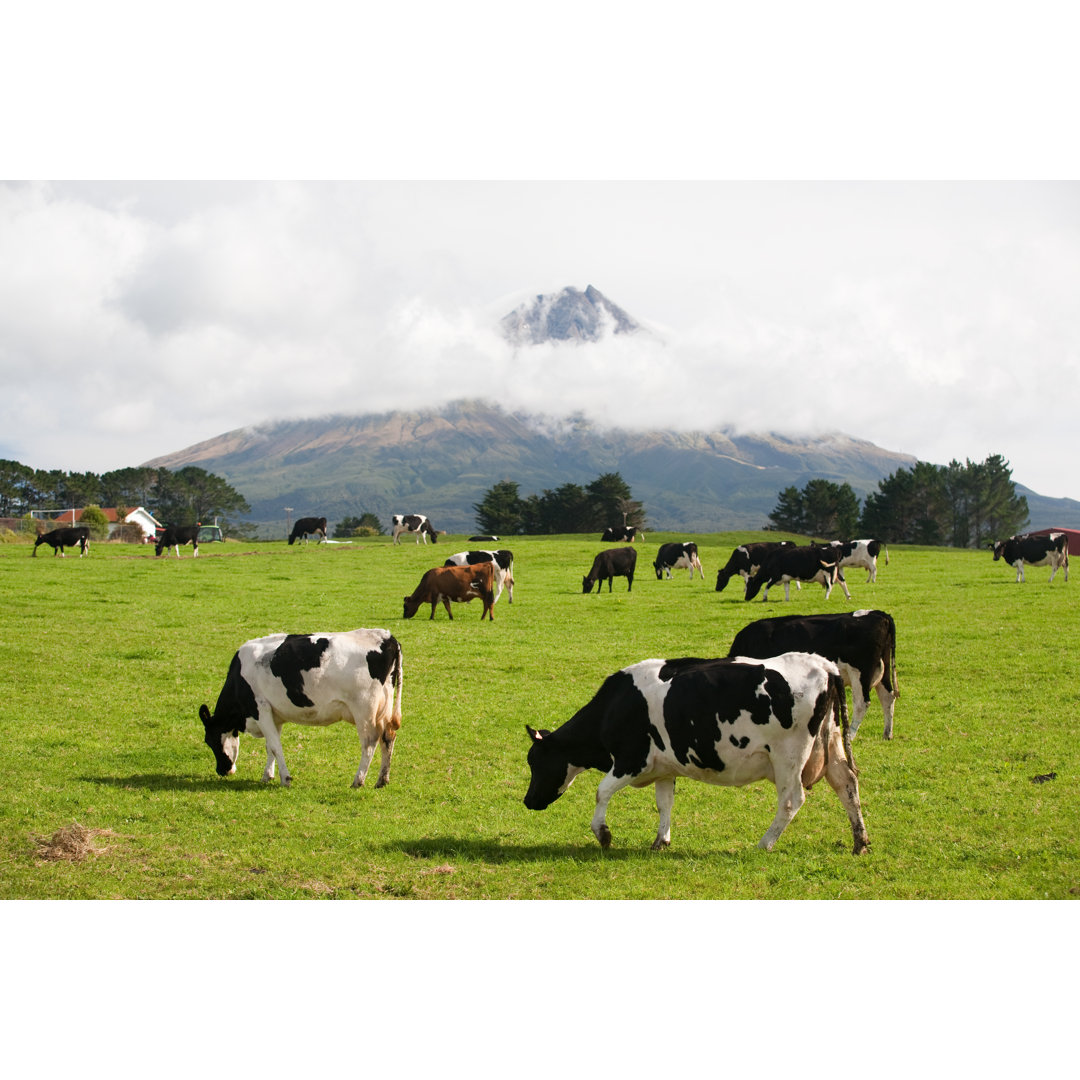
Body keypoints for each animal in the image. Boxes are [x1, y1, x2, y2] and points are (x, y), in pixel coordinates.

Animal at [199, 630, 406, 790]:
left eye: (210, 740)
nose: (221, 771)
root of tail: (387, 637)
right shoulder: (274, 713)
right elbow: (270, 746)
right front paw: (267, 775)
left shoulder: (260, 708)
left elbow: (275, 745)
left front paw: (285, 779)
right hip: (383, 709)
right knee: (388, 737)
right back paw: (382, 780)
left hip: (364, 711)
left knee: (369, 743)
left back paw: (358, 780)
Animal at [522, 643, 868, 855]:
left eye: (536, 763)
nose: (527, 801)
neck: (616, 704)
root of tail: (823, 664)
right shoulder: (663, 768)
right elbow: (664, 803)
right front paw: (661, 840)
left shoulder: (631, 760)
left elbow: (601, 791)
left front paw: (603, 834)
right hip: (831, 743)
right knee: (847, 785)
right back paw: (860, 841)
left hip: (788, 757)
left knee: (792, 799)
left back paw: (765, 843)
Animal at [730, 613, 898, 738]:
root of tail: (879, 615)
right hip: (883, 670)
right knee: (888, 696)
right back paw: (887, 733)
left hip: (860, 673)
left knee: (861, 703)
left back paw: (850, 735)